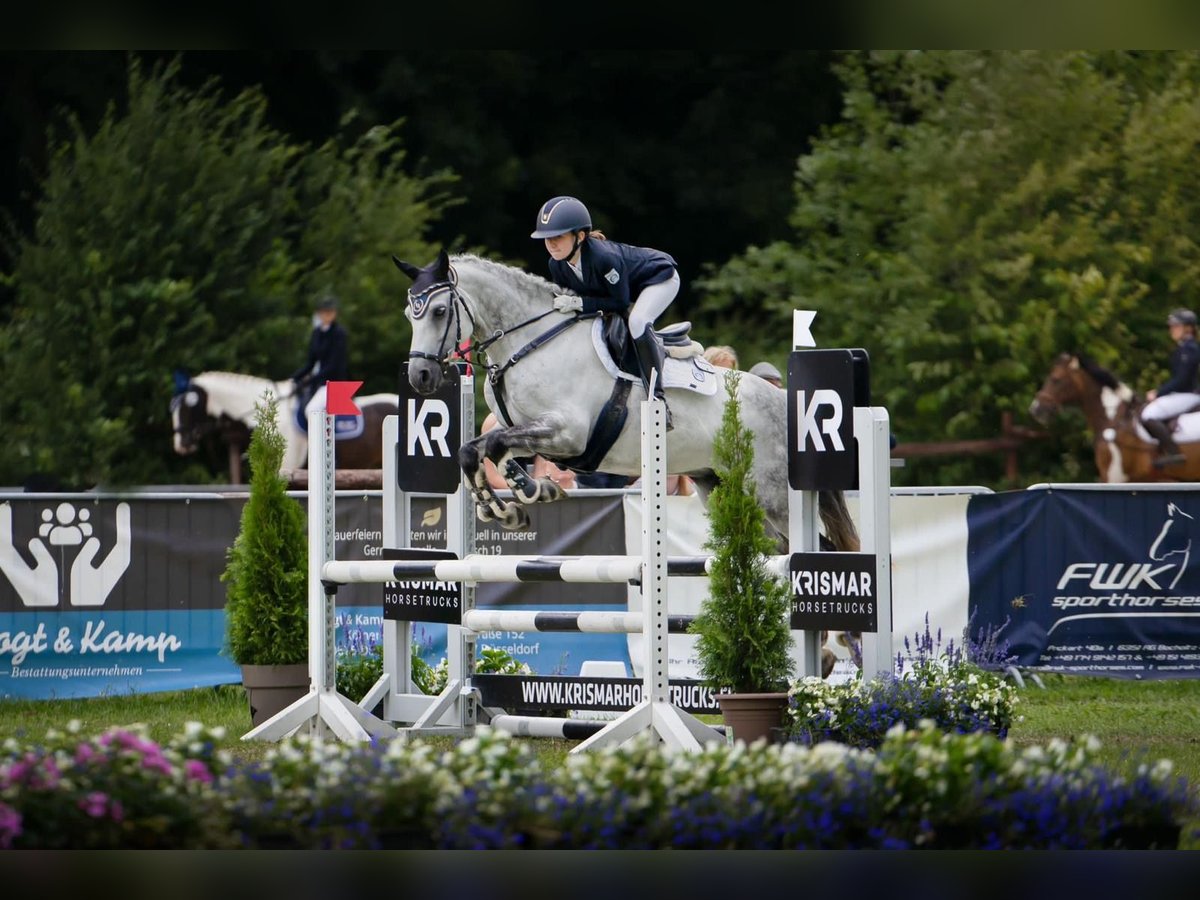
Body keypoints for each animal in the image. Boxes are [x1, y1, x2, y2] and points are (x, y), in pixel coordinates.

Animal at [388, 247, 859, 556]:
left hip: (773, 494)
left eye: (439, 312)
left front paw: (509, 505)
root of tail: (783, 401)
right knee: (773, 547)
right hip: (718, 485)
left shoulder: (567, 433)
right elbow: (482, 449)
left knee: (815, 547)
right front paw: (520, 499)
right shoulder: (527, 430)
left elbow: (491, 446)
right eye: (409, 314)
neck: (529, 342)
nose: (420, 377)